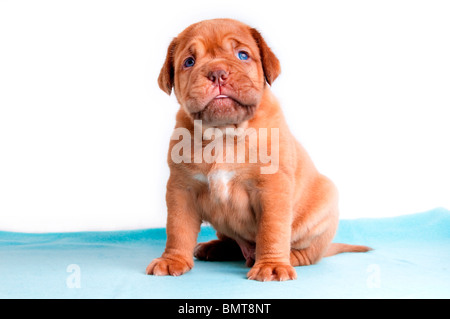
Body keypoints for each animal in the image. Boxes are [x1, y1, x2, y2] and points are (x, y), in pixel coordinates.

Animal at [146, 18, 370, 282]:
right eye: (189, 62)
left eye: (242, 55)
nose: (217, 73)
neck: (224, 134)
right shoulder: (182, 189)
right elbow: (177, 229)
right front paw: (173, 260)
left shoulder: (272, 189)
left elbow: (271, 231)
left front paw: (272, 265)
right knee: (232, 242)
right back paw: (214, 248)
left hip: (324, 207)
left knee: (308, 252)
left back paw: (287, 258)